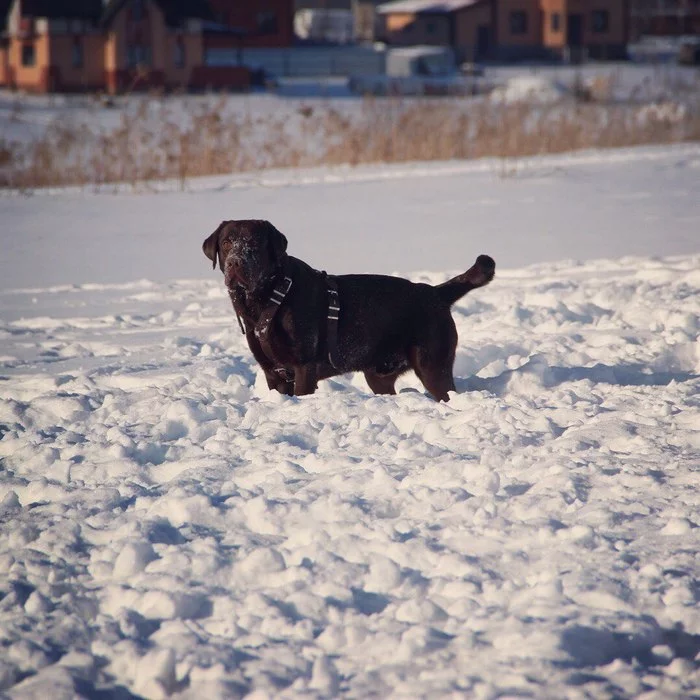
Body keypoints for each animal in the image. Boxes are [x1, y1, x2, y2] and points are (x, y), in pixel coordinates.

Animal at [202, 221, 494, 402]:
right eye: (227, 242)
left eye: (255, 243)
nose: (236, 262)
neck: (269, 297)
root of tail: (435, 293)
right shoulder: (273, 373)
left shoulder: (303, 367)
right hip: (379, 375)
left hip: (433, 366)